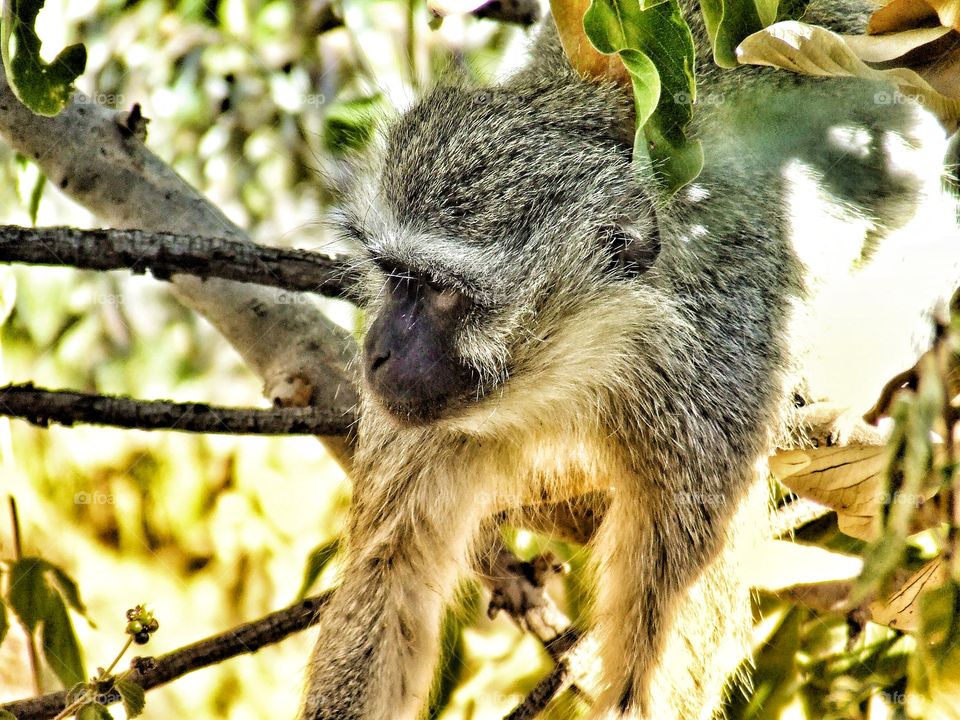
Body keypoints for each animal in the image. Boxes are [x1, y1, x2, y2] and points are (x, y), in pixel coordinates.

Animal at [299, 0, 960, 718]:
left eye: (441, 293)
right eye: (395, 279)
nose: (379, 351)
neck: (598, 358)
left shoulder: (720, 392)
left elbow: (667, 627)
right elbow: (388, 577)